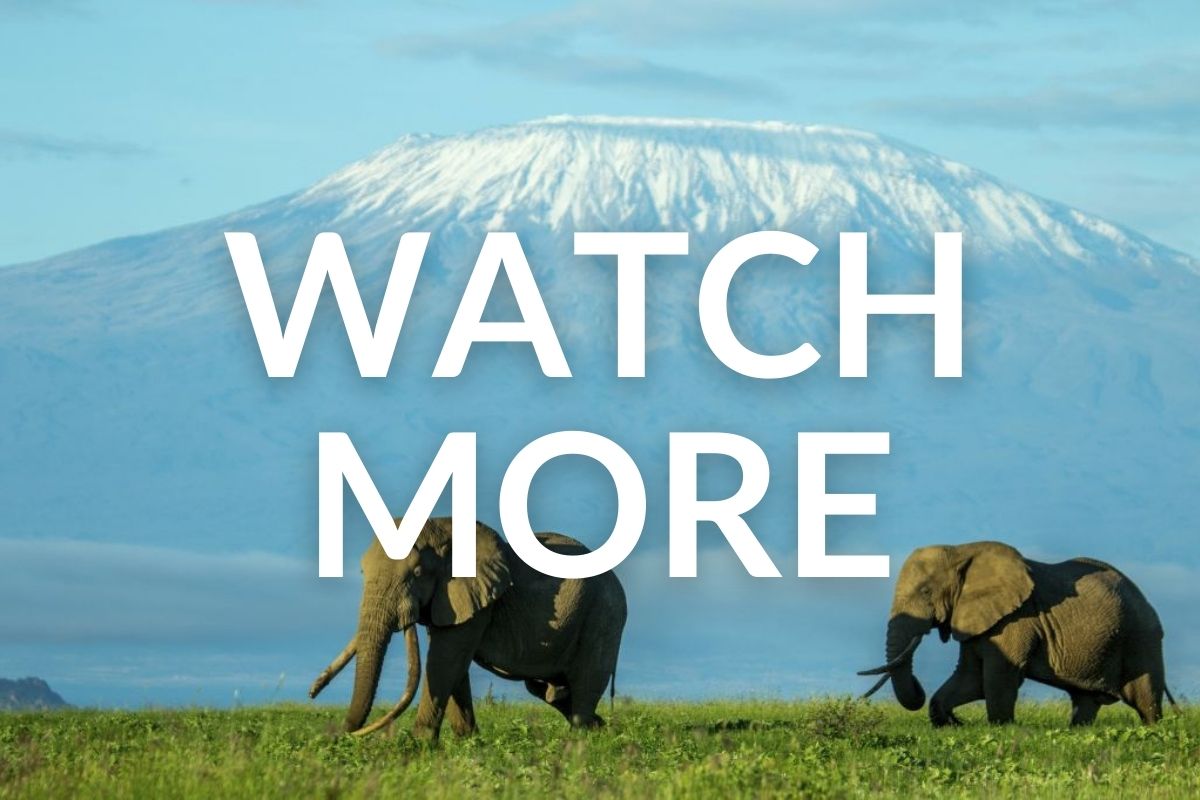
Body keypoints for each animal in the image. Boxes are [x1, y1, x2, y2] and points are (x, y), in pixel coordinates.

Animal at [309, 517, 627, 739]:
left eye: (417, 573)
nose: (312, 693)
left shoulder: (475, 599)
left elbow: (445, 661)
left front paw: (418, 747)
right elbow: (453, 667)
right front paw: (468, 743)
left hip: (604, 616)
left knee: (583, 685)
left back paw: (580, 745)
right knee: (550, 691)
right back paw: (604, 730)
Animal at [859, 541, 1174, 726]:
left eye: (925, 592)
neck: (962, 550)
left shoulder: (1016, 620)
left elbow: (997, 677)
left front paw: (1001, 729)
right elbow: (970, 678)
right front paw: (950, 723)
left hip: (1141, 637)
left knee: (1144, 698)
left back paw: (1153, 730)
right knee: (1085, 701)